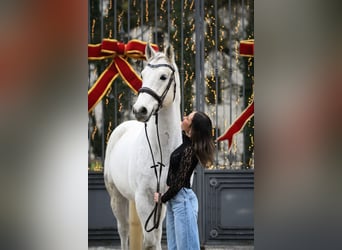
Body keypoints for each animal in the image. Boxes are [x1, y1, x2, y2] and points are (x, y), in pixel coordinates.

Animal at [104, 44, 183, 249]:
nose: (140, 110)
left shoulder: (163, 198)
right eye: (143, 74)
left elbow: (156, 237)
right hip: (117, 198)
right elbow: (149, 241)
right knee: (123, 231)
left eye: (163, 76)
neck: (162, 150)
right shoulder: (143, 197)